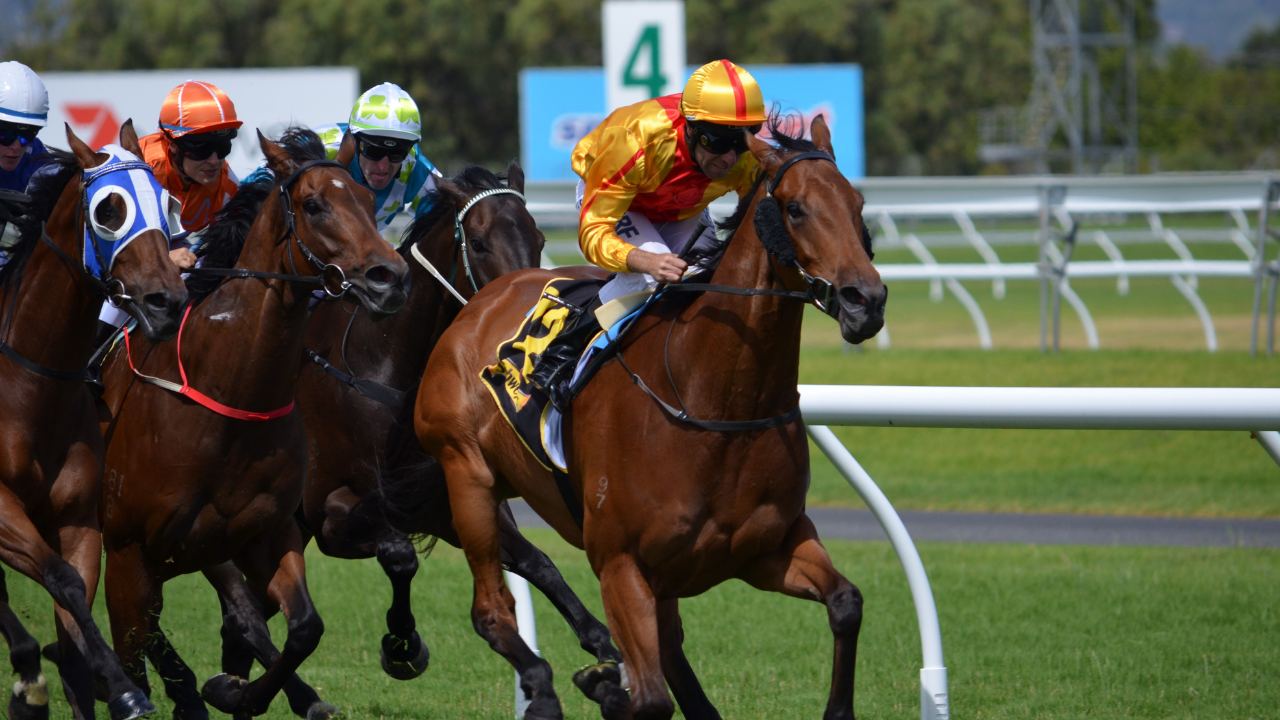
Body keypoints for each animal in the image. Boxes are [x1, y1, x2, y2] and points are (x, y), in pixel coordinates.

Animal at [0, 120, 186, 717]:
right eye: (109, 210)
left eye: (170, 205)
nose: (166, 301)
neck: (30, 388)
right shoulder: (1, 508)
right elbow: (59, 579)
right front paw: (117, 685)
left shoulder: (78, 516)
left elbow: (75, 598)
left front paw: (109, 685)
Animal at [99, 127, 407, 717]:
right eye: (314, 205)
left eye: (367, 201)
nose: (391, 279)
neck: (230, 396)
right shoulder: (131, 550)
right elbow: (139, 640)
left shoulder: (266, 534)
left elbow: (302, 626)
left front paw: (237, 690)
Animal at [414, 117, 885, 717]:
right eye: (796, 208)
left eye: (857, 203)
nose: (865, 300)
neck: (713, 401)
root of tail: (480, 300)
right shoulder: (621, 564)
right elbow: (653, 699)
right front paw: (607, 685)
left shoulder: (766, 548)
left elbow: (847, 602)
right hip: (467, 476)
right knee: (491, 611)